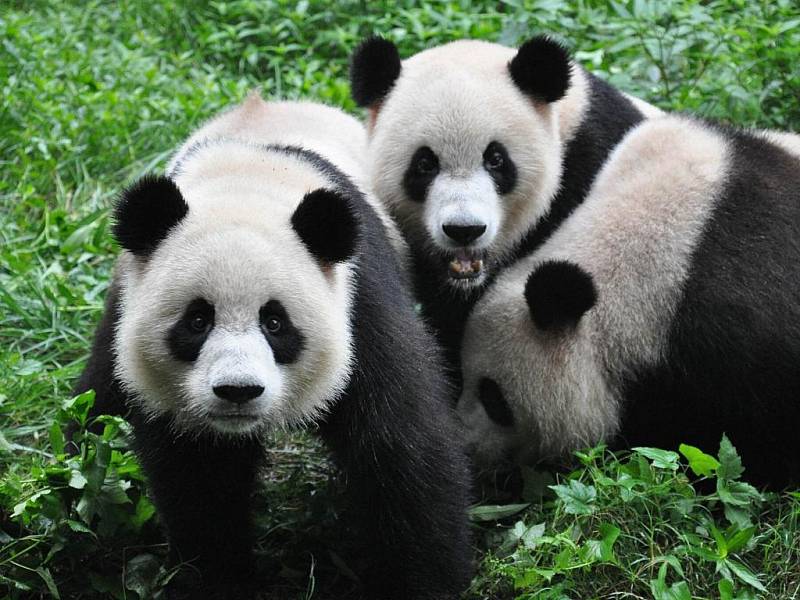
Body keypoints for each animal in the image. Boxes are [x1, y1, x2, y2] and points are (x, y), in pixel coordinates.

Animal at [72, 94, 472, 600]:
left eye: (275, 323)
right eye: (197, 321)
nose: (238, 391)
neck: (246, 182)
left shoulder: (361, 304)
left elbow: (402, 446)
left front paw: (423, 580)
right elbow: (202, 479)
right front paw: (221, 577)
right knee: (96, 402)